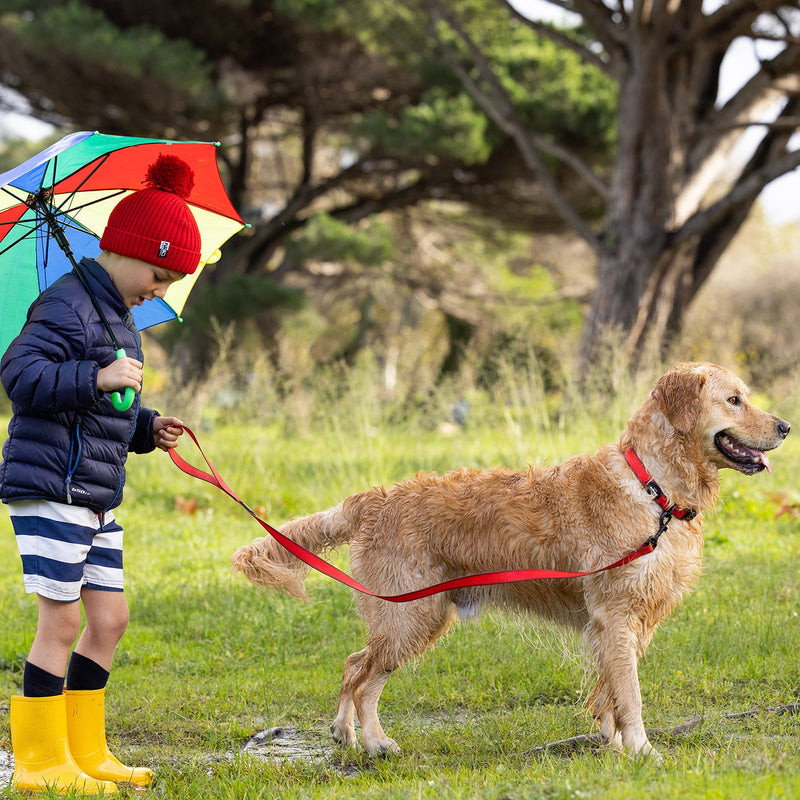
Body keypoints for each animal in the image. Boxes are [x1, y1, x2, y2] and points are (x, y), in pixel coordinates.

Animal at [231, 362, 788, 756]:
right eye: (734, 399)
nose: (784, 426)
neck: (654, 488)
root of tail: (370, 498)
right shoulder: (616, 616)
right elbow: (629, 696)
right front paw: (643, 751)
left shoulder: (623, 624)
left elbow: (608, 693)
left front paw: (612, 747)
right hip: (411, 615)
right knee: (363, 677)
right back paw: (372, 742)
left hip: (411, 617)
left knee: (353, 665)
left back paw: (346, 736)